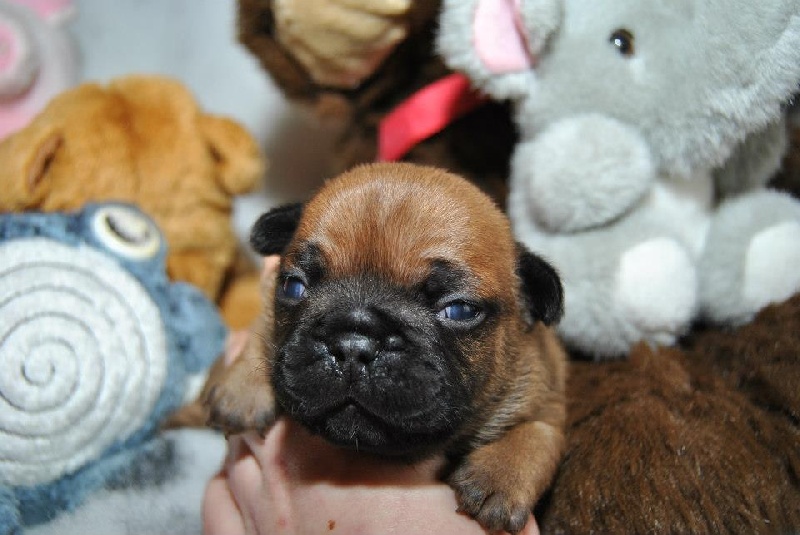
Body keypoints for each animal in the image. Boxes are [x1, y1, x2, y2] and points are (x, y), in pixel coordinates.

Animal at [205, 162, 567, 533]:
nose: (352, 345)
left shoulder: (547, 388)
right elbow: (260, 328)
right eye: (294, 287)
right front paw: (243, 390)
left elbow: (541, 431)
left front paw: (501, 474)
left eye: (459, 310)